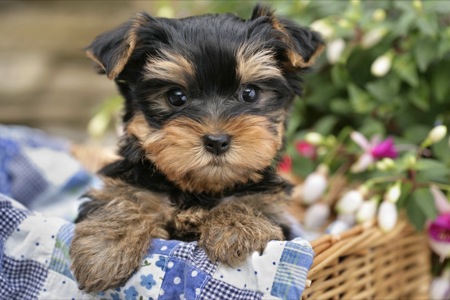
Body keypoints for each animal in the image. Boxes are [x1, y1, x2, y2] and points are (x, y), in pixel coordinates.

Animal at [69, 3, 324, 292]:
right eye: (176, 96)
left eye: (249, 93)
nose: (216, 140)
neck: (200, 190)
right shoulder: (129, 182)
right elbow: (123, 198)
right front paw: (104, 250)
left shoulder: (272, 206)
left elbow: (252, 203)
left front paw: (237, 227)